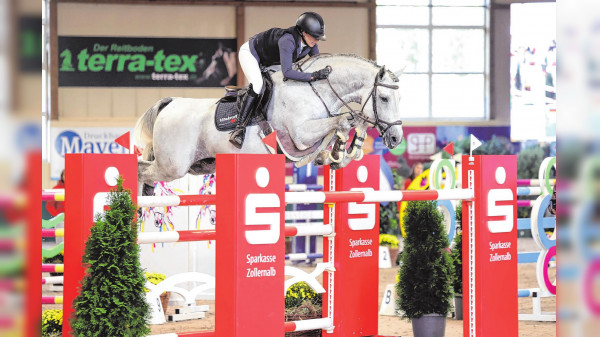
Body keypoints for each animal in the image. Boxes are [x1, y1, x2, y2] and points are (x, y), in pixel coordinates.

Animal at [135, 53, 404, 193]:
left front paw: (333, 156)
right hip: (173, 166)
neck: (316, 89)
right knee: (141, 170)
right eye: (383, 98)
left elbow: (343, 130)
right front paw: (336, 150)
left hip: (200, 165)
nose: (395, 138)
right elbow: (341, 122)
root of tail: (169, 103)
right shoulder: (300, 135)